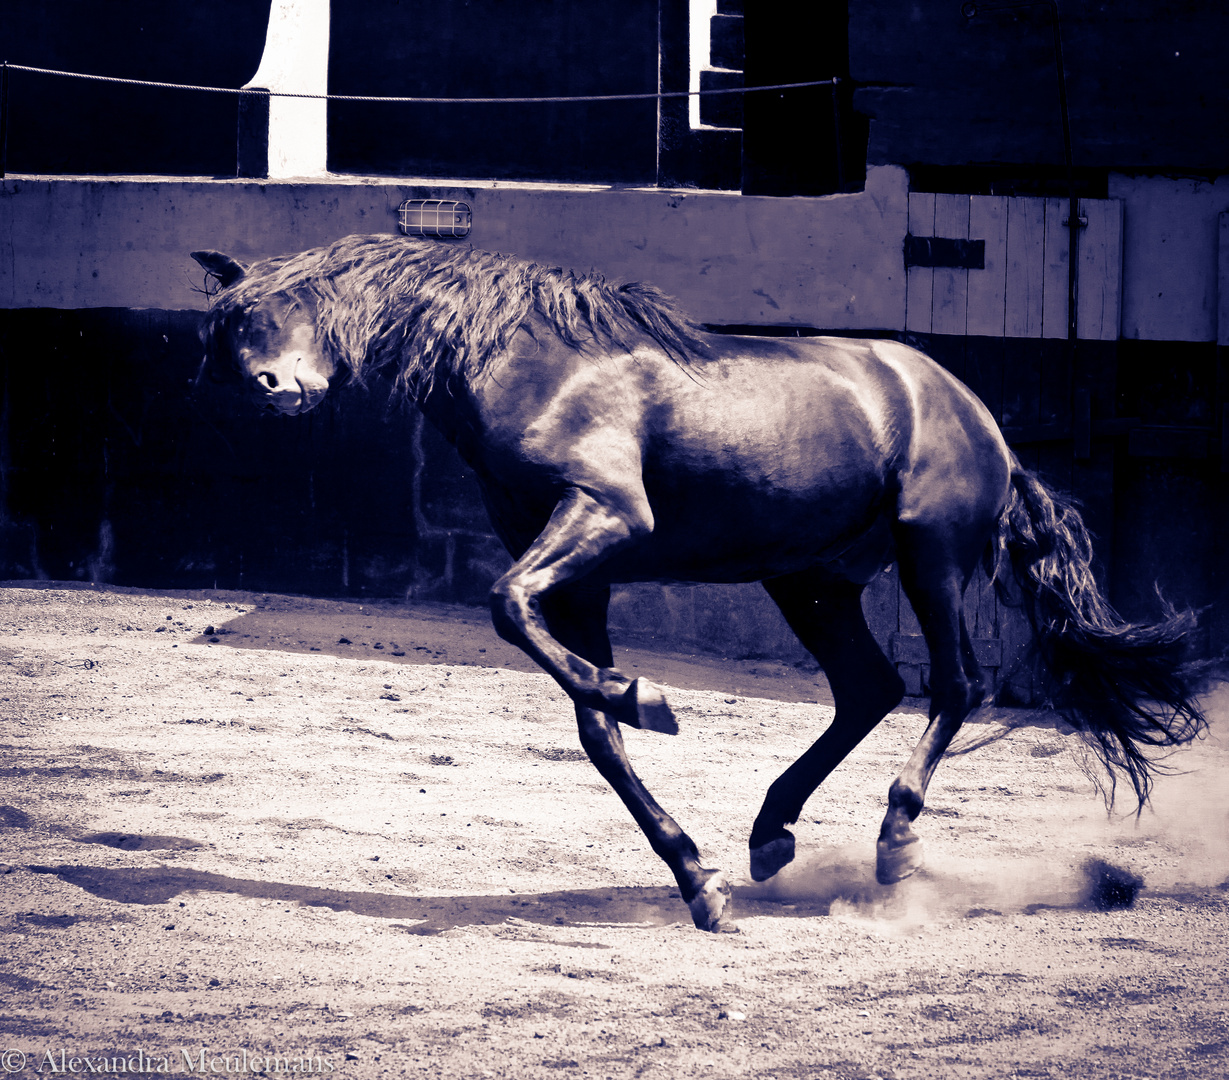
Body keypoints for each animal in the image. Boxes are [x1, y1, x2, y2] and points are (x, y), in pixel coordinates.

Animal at [186, 234, 1204, 928]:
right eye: (229, 330)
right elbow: (590, 729)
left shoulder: (603, 518)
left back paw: (894, 842)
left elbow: (507, 608)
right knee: (868, 689)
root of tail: (976, 414)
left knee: (956, 686)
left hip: (931, 553)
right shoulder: (579, 575)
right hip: (811, 580)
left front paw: (647, 697)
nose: (276, 389)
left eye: (280, 307)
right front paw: (694, 875)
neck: (528, 366)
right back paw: (767, 838)